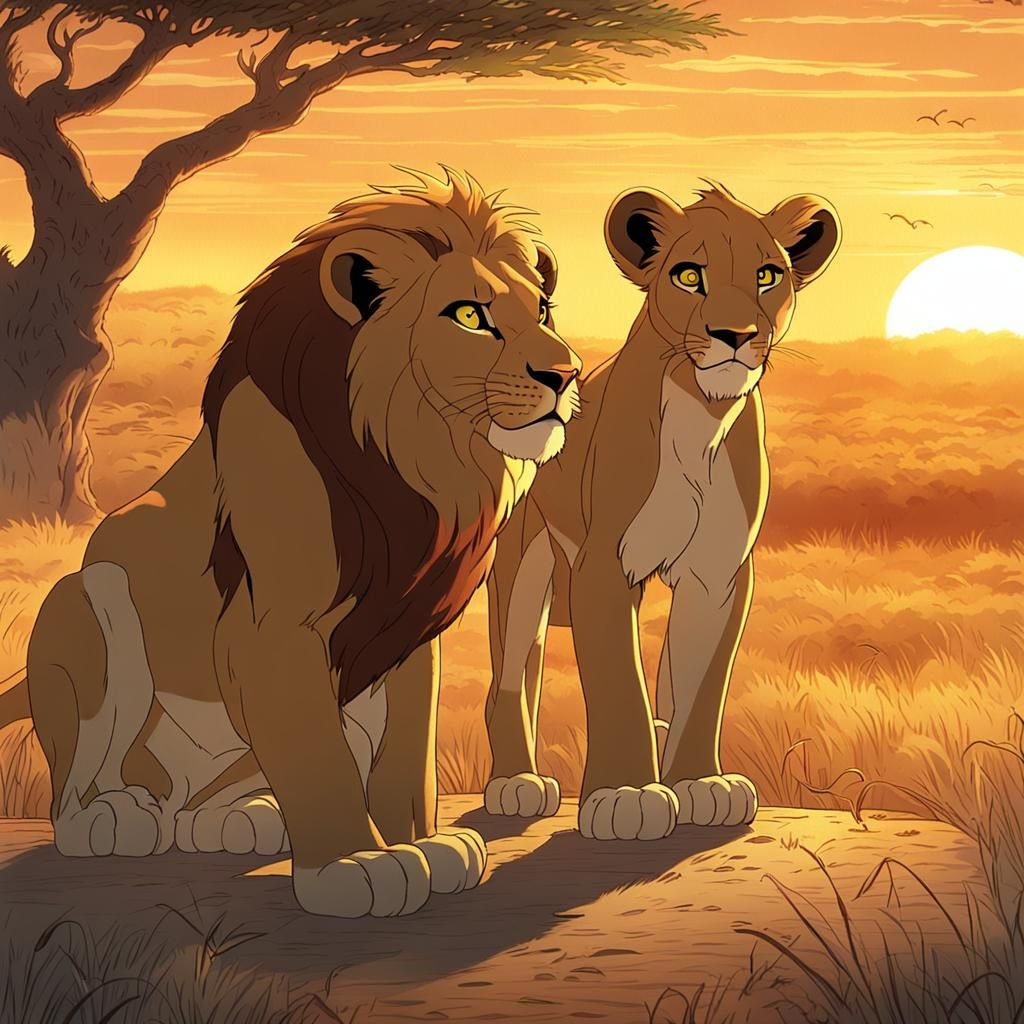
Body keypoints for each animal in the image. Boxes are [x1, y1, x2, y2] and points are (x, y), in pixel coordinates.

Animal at [0, 168, 581, 917]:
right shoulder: (273, 629)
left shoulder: (406, 636)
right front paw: (356, 862)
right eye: (469, 316)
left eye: (543, 312)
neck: (414, 465)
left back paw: (240, 818)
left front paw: (425, 844)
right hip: (88, 603)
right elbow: (319, 755)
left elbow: (406, 753)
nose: (566, 375)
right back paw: (115, 816)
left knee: (199, 804)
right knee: (81, 784)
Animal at [483, 182, 840, 838]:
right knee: (511, 677)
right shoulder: (603, 564)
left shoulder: (719, 574)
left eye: (767, 275)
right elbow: (619, 679)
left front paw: (701, 783)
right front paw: (626, 793)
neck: (704, 414)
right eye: (689, 275)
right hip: (524, 566)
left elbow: (703, 684)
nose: (733, 334)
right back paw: (517, 783)